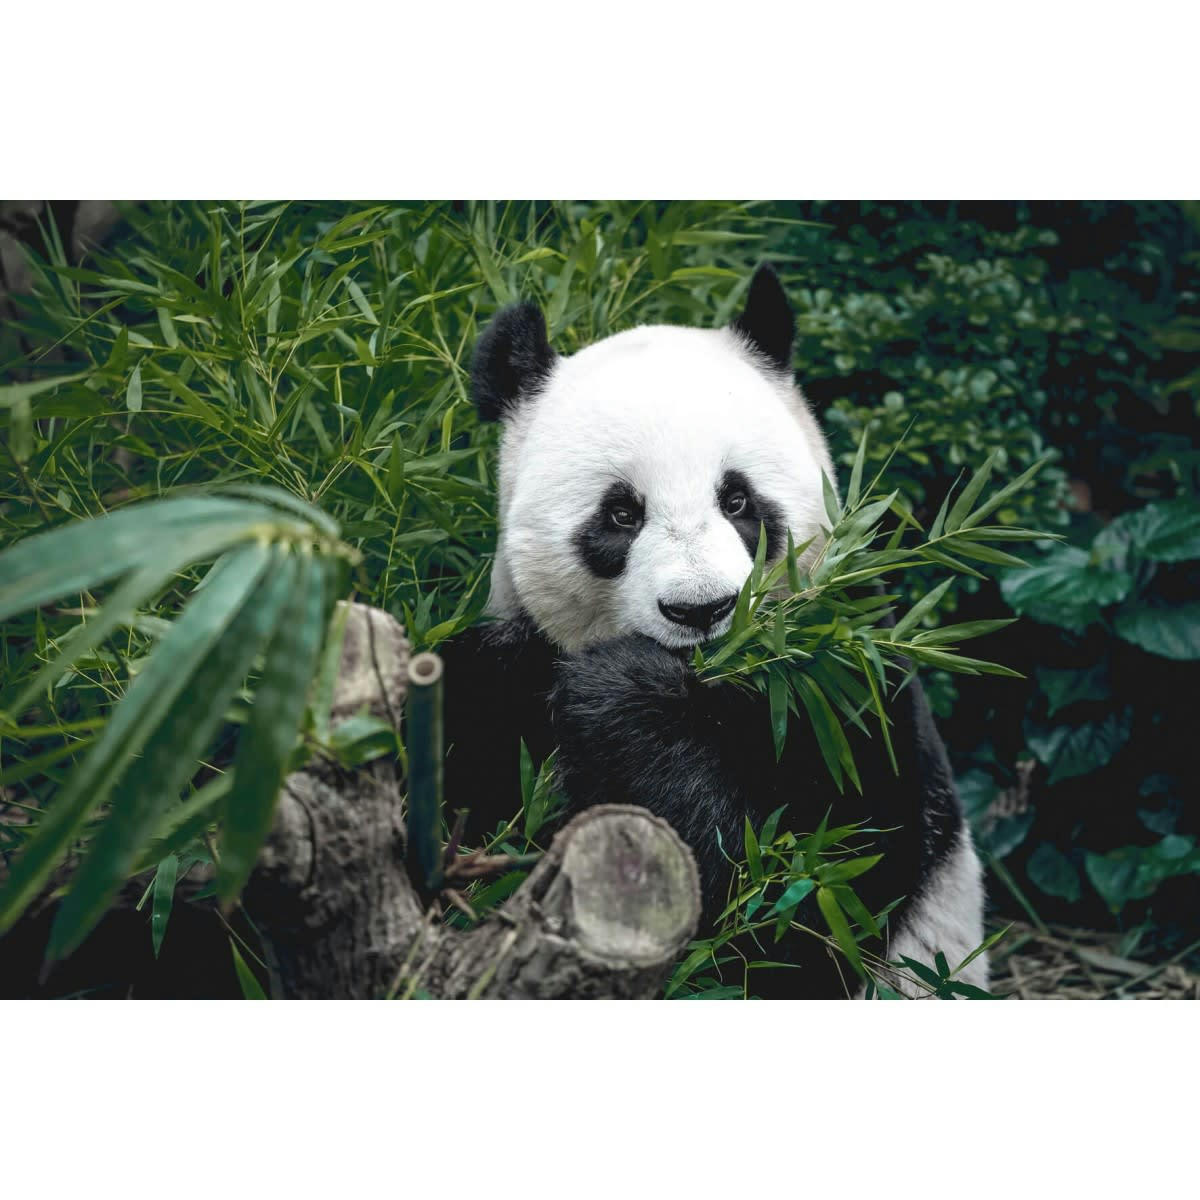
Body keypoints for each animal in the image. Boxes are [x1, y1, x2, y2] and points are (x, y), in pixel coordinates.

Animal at [438, 265, 988, 998]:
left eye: (738, 500)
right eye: (620, 513)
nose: (701, 609)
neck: (714, 684)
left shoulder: (848, 693)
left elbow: (805, 900)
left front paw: (620, 697)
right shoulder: (501, 691)